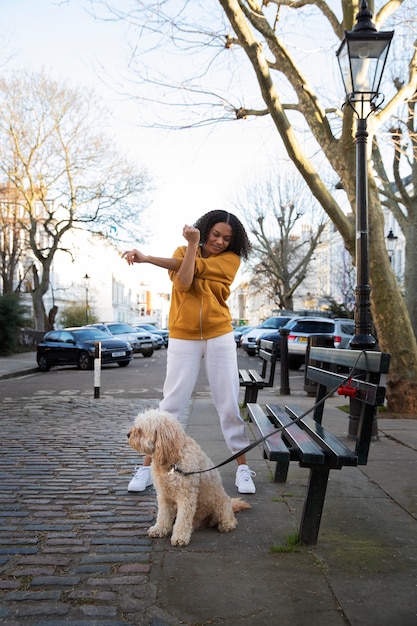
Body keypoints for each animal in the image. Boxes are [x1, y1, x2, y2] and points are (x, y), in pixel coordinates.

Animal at [127, 408, 250, 544]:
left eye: (140, 430)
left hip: (221, 504)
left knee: (229, 518)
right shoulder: (164, 496)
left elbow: (182, 520)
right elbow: (163, 516)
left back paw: (226, 525)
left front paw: (179, 537)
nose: (128, 434)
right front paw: (159, 529)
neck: (172, 462)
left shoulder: (186, 496)